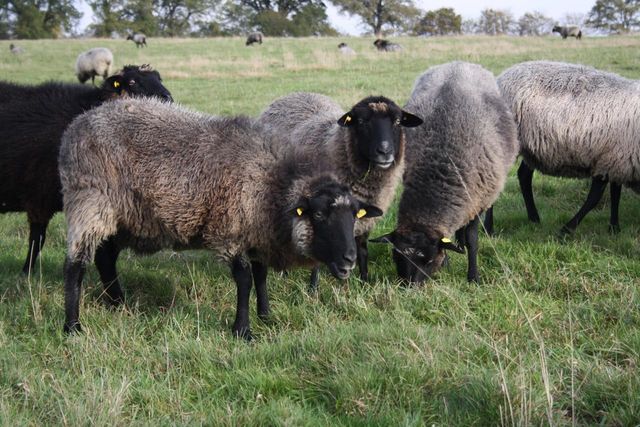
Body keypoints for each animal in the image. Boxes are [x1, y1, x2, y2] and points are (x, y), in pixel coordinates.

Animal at [0, 65, 172, 276]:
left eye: (159, 78)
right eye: (132, 82)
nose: (167, 98)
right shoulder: (39, 196)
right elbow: (37, 240)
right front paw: (26, 275)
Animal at [57, 98, 382, 342]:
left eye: (354, 215)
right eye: (319, 214)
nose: (350, 259)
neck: (269, 184)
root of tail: (77, 124)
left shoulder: (256, 232)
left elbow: (261, 275)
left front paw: (266, 315)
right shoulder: (230, 230)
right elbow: (245, 278)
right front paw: (243, 331)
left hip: (124, 216)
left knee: (105, 258)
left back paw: (118, 303)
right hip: (90, 200)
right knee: (76, 264)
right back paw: (72, 327)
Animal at [258, 93, 422, 288]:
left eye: (397, 121)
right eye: (361, 121)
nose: (385, 151)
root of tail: (292, 94)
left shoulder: (363, 217)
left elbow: (363, 251)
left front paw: (365, 282)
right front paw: (313, 289)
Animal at [372, 61, 516, 284]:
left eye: (429, 260)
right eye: (396, 257)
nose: (408, 287)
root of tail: (459, 63)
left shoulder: (477, 198)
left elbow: (473, 239)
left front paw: (473, 276)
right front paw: (448, 260)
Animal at [498, 59, 640, 234]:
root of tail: (501, 77)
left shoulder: (617, 160)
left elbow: (614, 194)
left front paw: (614, 228)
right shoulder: (610, 161)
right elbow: (594, 198)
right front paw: (566, 229)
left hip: (531, 147)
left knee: (524, 176)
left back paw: (534, 219)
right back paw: (490, 229)